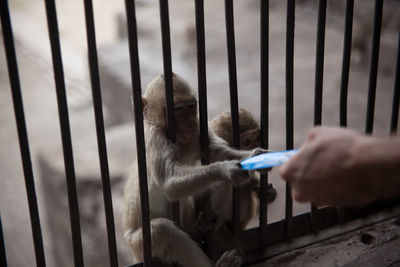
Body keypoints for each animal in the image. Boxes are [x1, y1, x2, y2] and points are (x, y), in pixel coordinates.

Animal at [122, 74, 266, 267]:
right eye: (177, 109)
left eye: (191, 106)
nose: (188, 122)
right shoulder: (154, 136)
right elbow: (169, 183)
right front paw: (226, 170)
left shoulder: (198, 128)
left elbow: (219, 152)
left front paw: (257, 156)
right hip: (139, 246)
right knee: (161, 230)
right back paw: (219, 263)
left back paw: (198, 230)